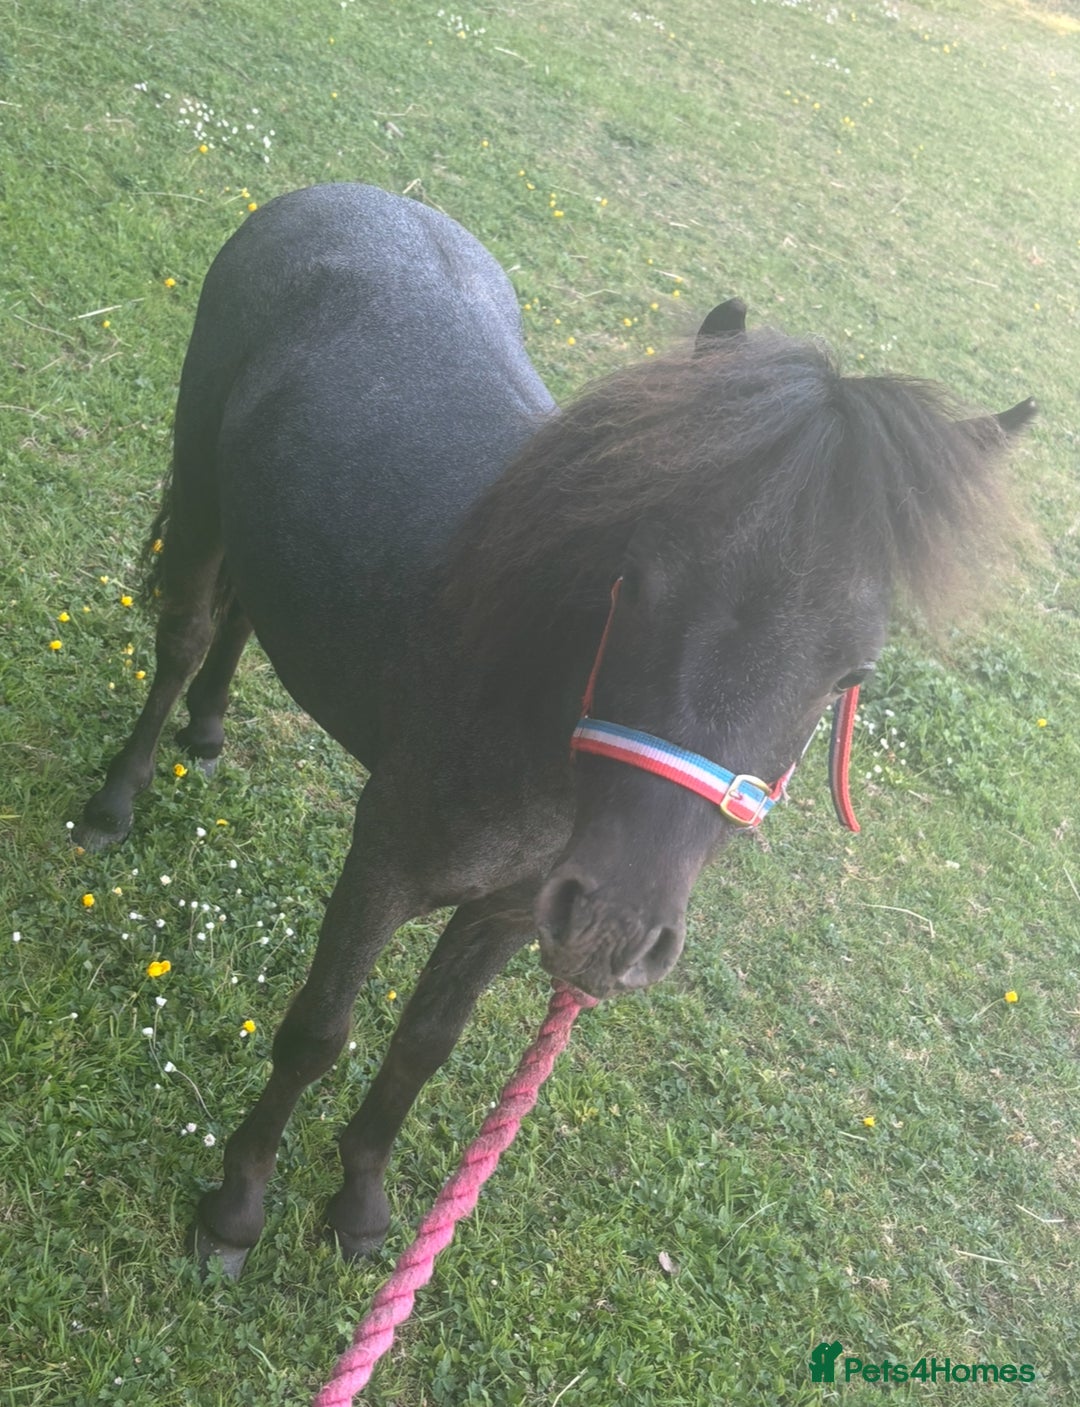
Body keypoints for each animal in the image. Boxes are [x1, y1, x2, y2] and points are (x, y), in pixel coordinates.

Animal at [73, 183, 1033, 1276]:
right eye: (639, 579)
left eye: (853, 673)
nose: (618, 927)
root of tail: (347, 196)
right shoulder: (384, 858)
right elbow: (320, 1031)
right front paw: (236, 1209)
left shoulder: (510, 907)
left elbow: (423, 1044)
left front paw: (360, 1204)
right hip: (199, 490)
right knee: (187, 636)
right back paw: (117, 798)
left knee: (239, 617)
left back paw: (207, 733)